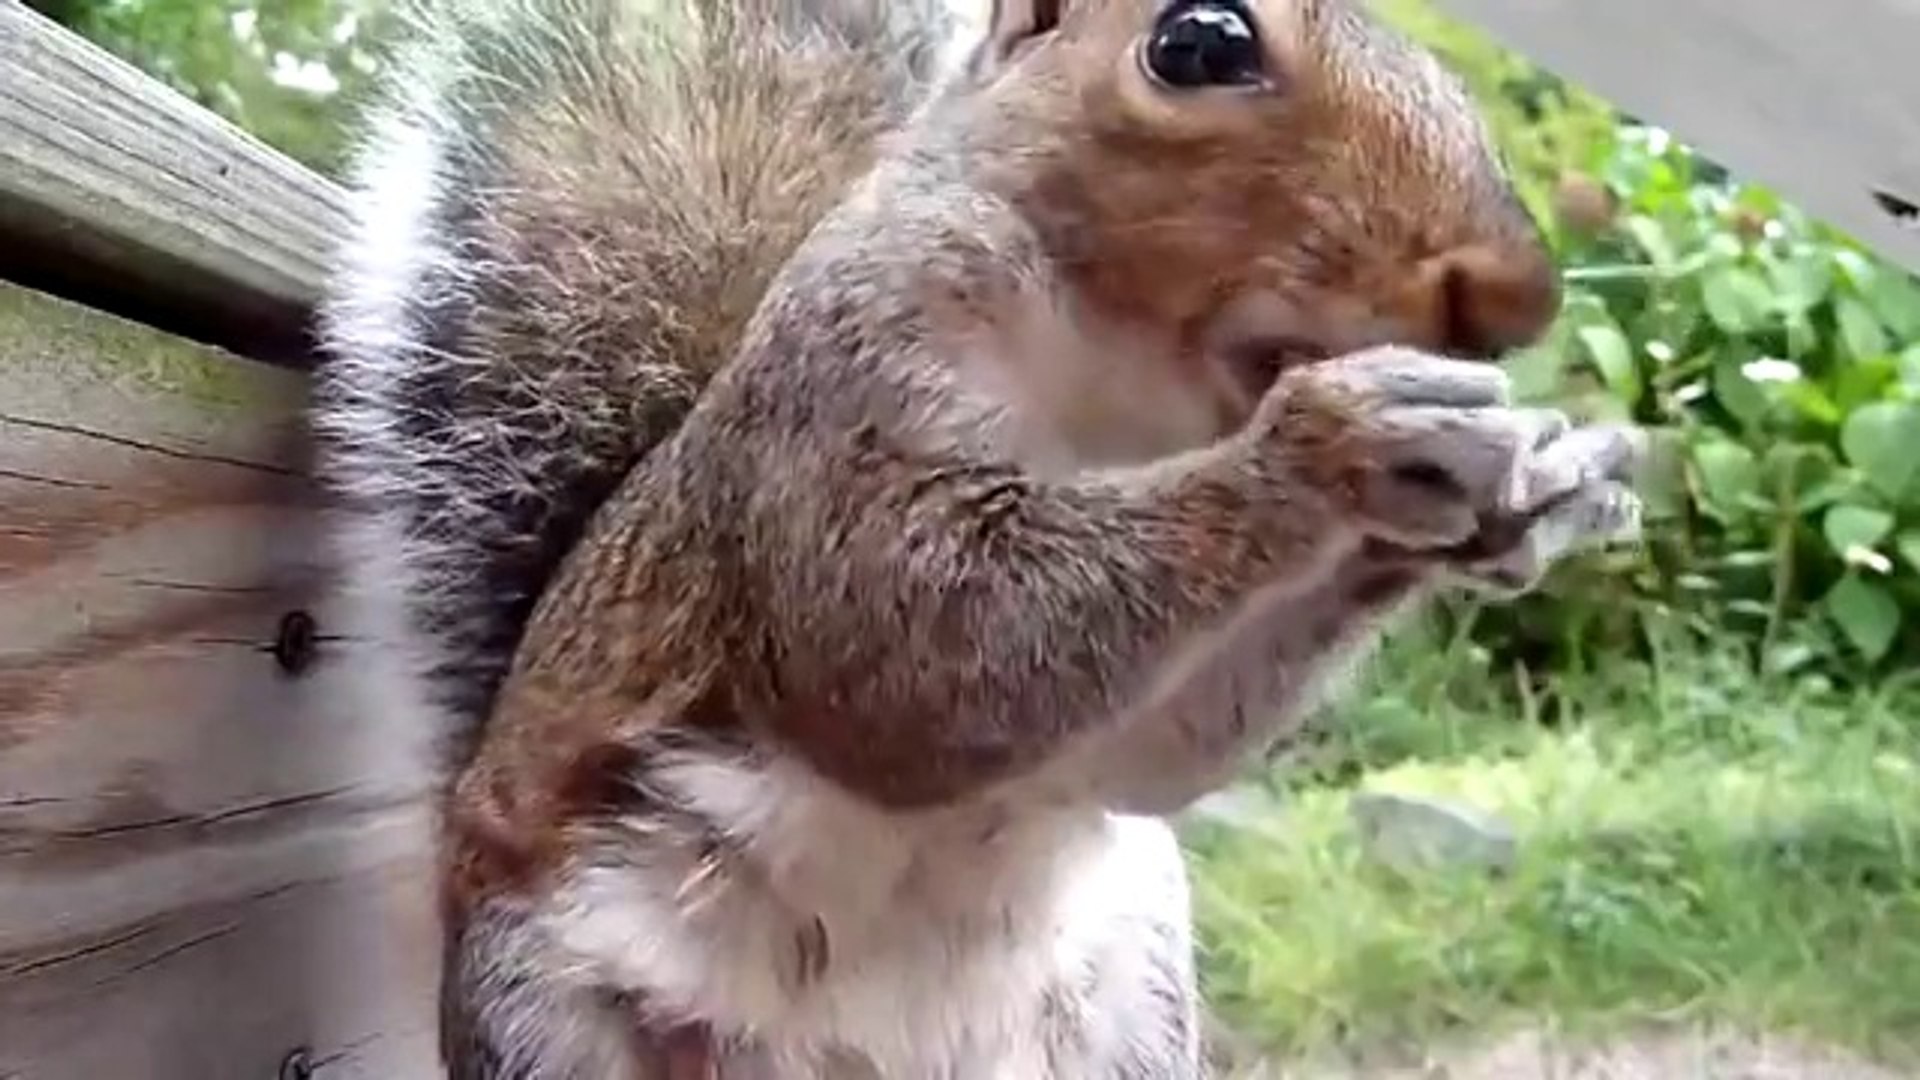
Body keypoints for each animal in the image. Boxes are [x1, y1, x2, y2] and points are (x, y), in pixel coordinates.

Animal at [313, 0, 1644, 1076]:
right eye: (1196, 42)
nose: (1515, 296)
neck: (1123, 390)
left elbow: (1145, 754)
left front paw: (1531, 490)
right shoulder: (831, 413)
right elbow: (921, 656)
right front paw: (1333, 439)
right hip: (542, 1016)